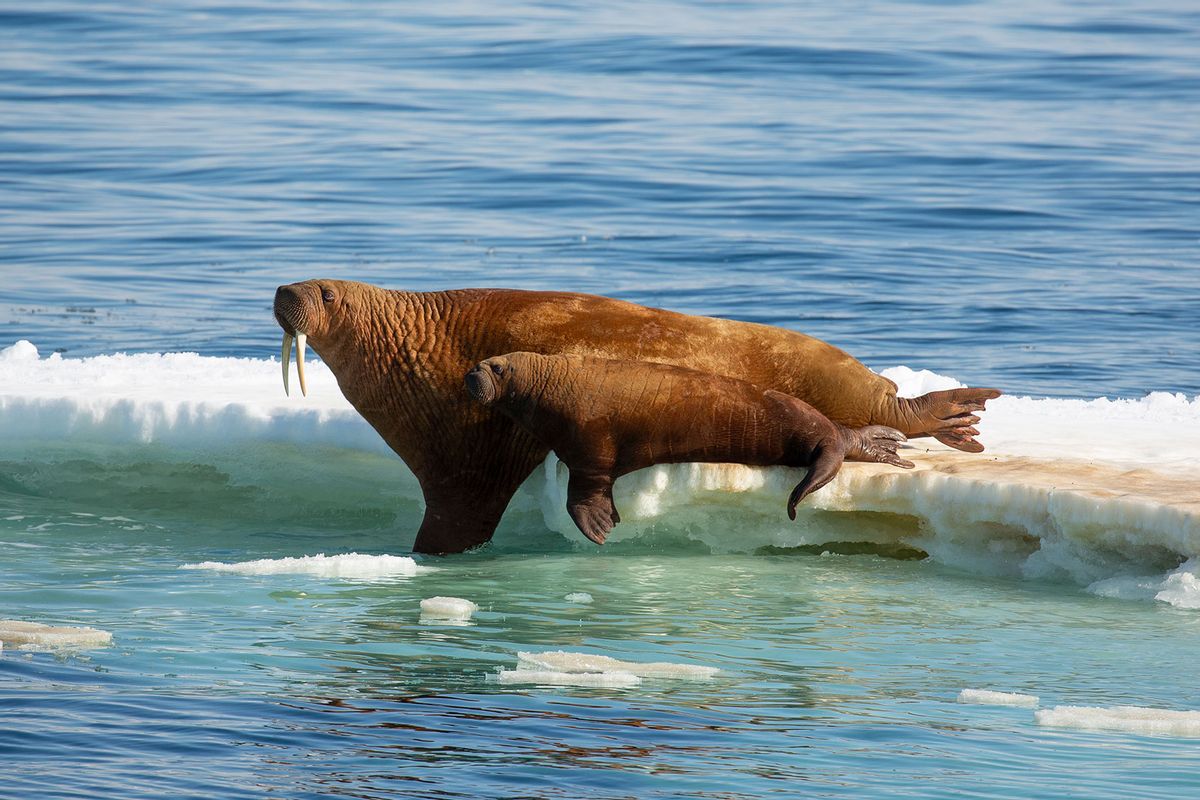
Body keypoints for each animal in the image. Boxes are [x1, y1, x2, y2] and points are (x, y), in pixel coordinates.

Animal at [463, 352, 912, 544]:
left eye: (496, 367)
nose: (470, 373)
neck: (551, 386)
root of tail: (832, 435)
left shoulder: (590, 445)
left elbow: (586, 493)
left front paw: (602, 526)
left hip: (815, 436)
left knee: (828, 443)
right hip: (830, 436)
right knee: (847, 439)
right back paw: (884, 443)